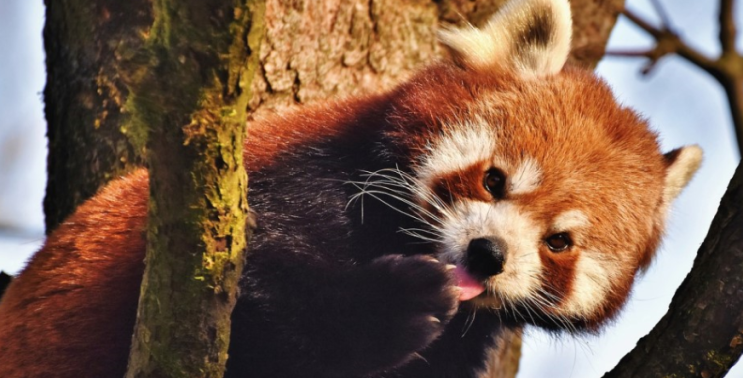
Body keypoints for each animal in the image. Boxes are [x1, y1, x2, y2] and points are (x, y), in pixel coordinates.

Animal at [0, 0, 704, 376]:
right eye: (494, 179)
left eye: (559, 242)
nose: (488, 254)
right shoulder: (281, 189)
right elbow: (267, 295)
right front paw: (393, 306)